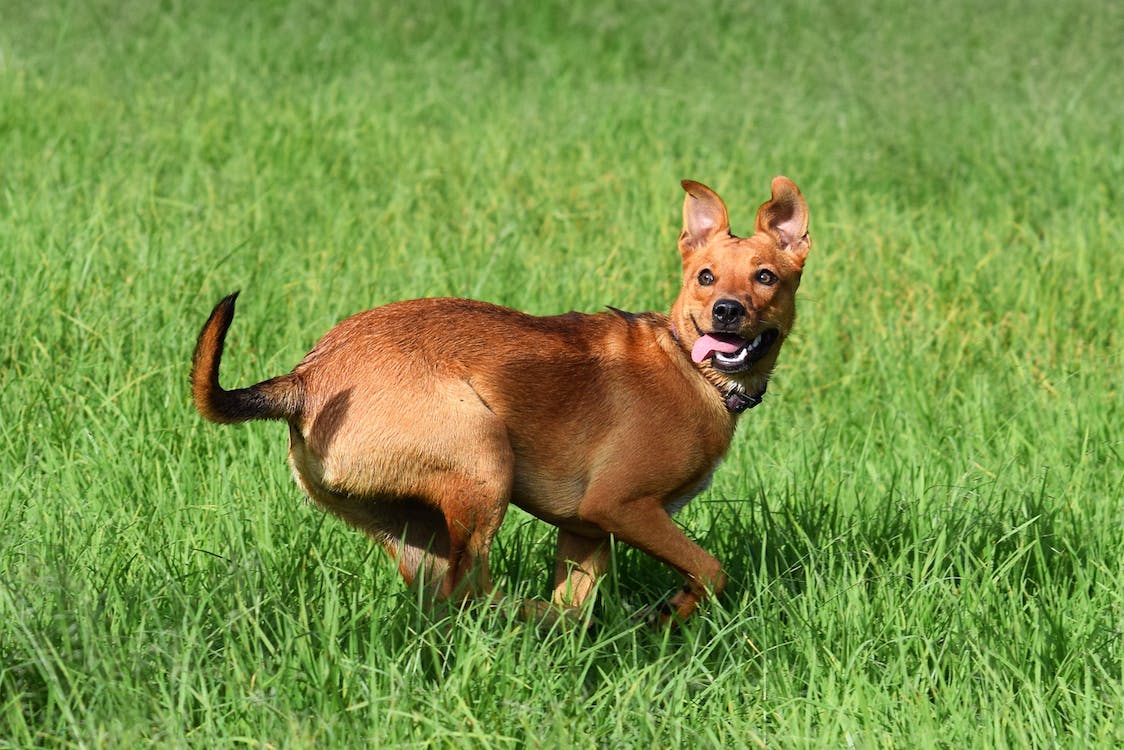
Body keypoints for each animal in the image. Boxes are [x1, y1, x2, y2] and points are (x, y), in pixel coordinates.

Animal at [193, 178, 809, 625]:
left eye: (765, 278)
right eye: (705, 277)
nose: (726, 311)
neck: (690, 365)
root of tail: (307, 377)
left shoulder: (585, 531)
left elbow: (579, 598)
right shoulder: (620, 507)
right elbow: (709, 570)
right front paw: (672, 611)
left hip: (414, 528)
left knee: (450, 599)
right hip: (485, 463)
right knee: (471, 589)